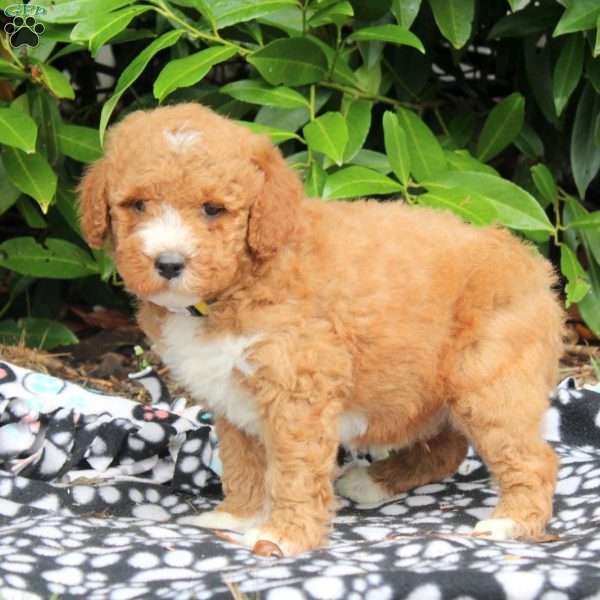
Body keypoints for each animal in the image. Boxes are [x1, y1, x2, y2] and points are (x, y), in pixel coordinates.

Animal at [78, 101, 564, 556]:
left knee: (533, 457)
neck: (236, 287)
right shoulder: (231, 395)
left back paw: (511, 522)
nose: (169, 263)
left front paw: (283, 535)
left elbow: (293, 470)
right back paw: (374, 482)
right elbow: (242, 461)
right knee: (447, 448)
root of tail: (530, 263)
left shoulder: (297, 388)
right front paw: (237, 516)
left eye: (213, 209)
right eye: (137, 205)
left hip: (489, 379)